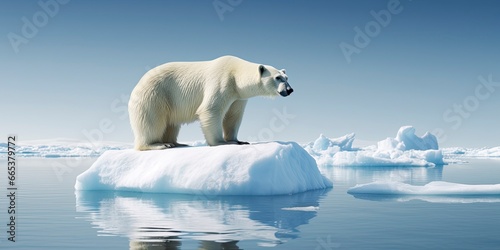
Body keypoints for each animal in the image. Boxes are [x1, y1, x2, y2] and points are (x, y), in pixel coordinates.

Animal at [128, 55, 292, 150]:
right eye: (277, 78)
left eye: (287, 77)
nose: (290, 90)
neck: (236, 73)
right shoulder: (222, 81)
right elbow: (211, 110)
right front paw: (222, 142)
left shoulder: (238, 96)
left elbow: (233, 116)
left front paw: (238, 140)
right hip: (155, 95)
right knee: (152, 121)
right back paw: (159, 144)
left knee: (171, 124)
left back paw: (177, 143)